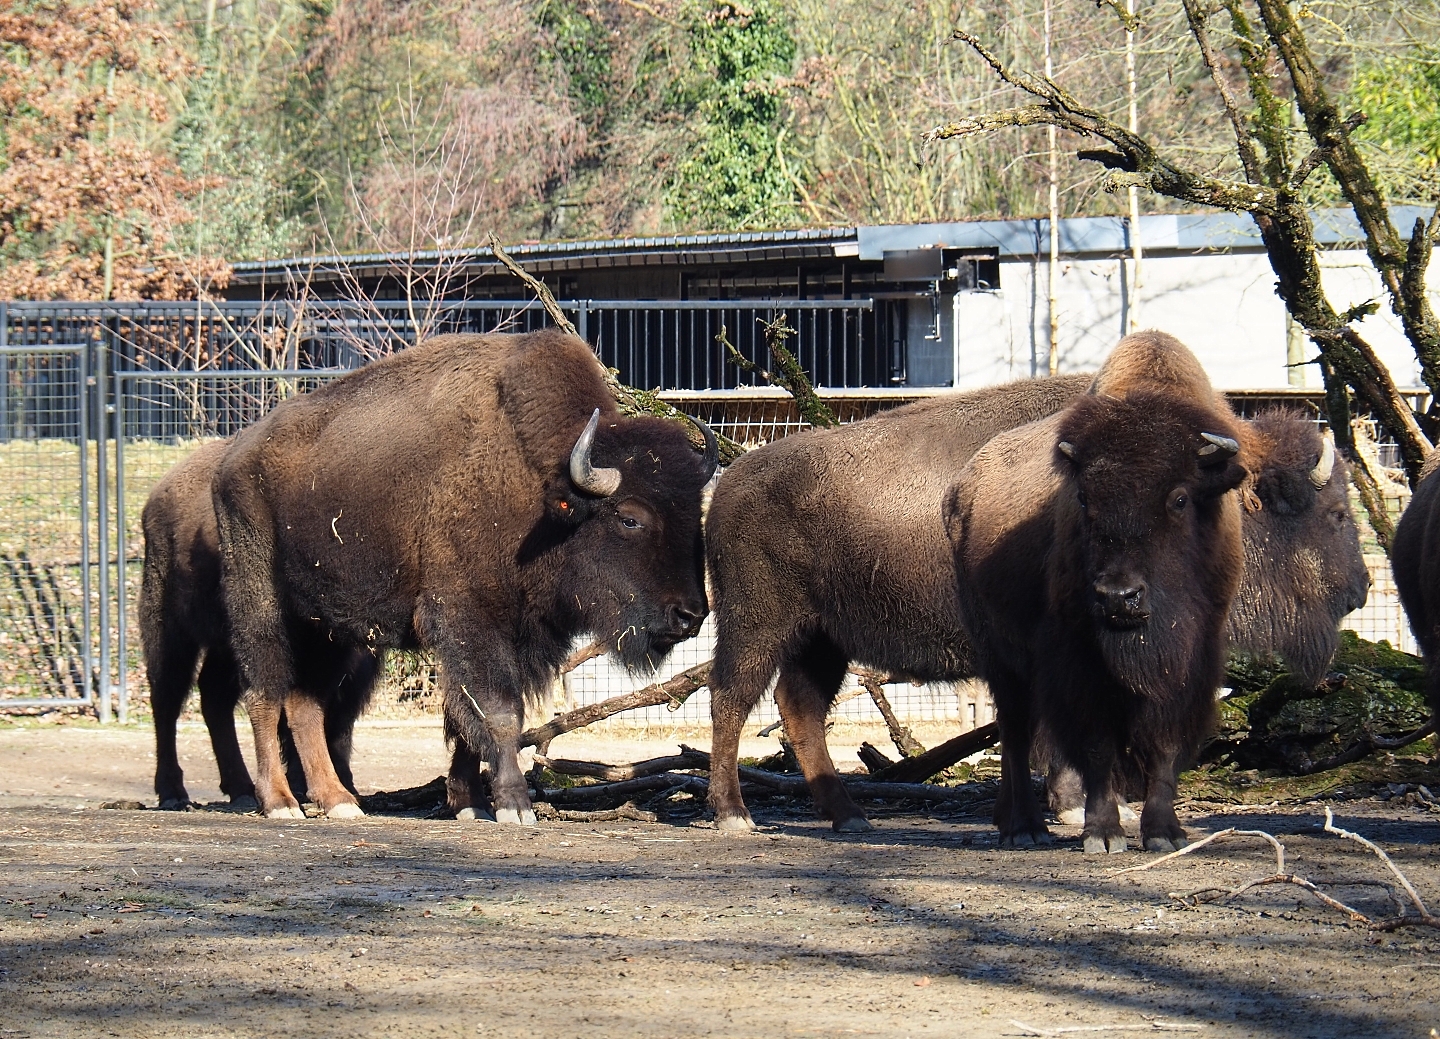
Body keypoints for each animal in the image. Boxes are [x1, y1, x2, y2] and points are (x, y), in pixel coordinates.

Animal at [140, 440, 379, 811]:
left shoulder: (353, 667)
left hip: (225, 645)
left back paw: (240, 786)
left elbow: (336, 721)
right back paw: (173, 792)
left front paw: (340, 785)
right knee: (166, 698)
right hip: (169, 627)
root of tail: (158, 494)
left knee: (214, 696)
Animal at [211, 330, 717, 821]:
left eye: (697, 514)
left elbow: (463, 718)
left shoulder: (514, 634)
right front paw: (514, 806)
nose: (690, 615)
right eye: (630, 518)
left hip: (329, 629)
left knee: (306, 705)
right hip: (261, 607)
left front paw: (469, 803)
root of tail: (231, 458)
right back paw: (280, 803)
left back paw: (339, 802)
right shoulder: (471, 620)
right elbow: (497, 713)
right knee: (263, 694)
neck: (541, 487)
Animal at [946, 333, 1247, 853]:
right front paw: (1103, 834)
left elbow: (1164, 745)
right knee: (1015, 730)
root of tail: (961, 491)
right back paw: (1023, 827)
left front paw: (1163, 833)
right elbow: (1096, 744)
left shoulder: (1191, 658)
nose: (1118, 597)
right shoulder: (1079, 658)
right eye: (1083, 498)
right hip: (999, 653)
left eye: (1180, 498)